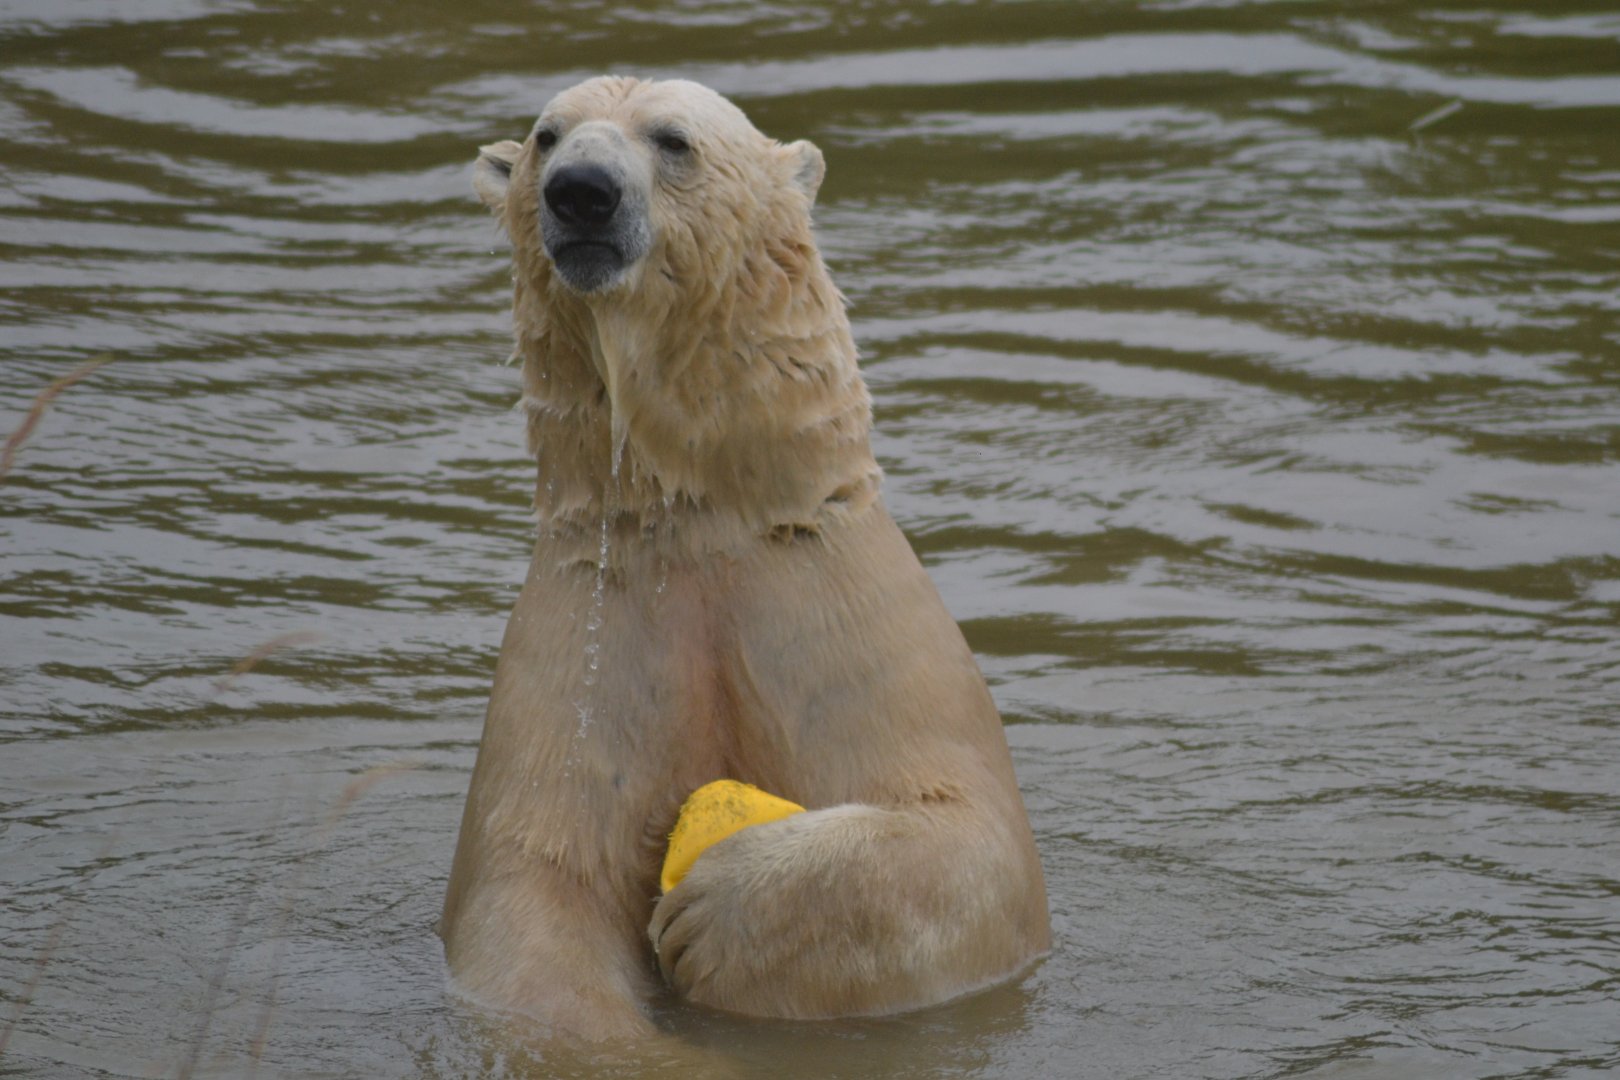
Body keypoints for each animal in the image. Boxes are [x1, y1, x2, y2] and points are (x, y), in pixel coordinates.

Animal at [440, 75, 1050, 1042]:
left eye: (673, 139)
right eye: (545, 137)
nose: (581, 192)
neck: (704, 523)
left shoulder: (839, 618)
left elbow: (972, 843)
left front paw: (710, 913)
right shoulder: (590, 644)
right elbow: (534, 889)